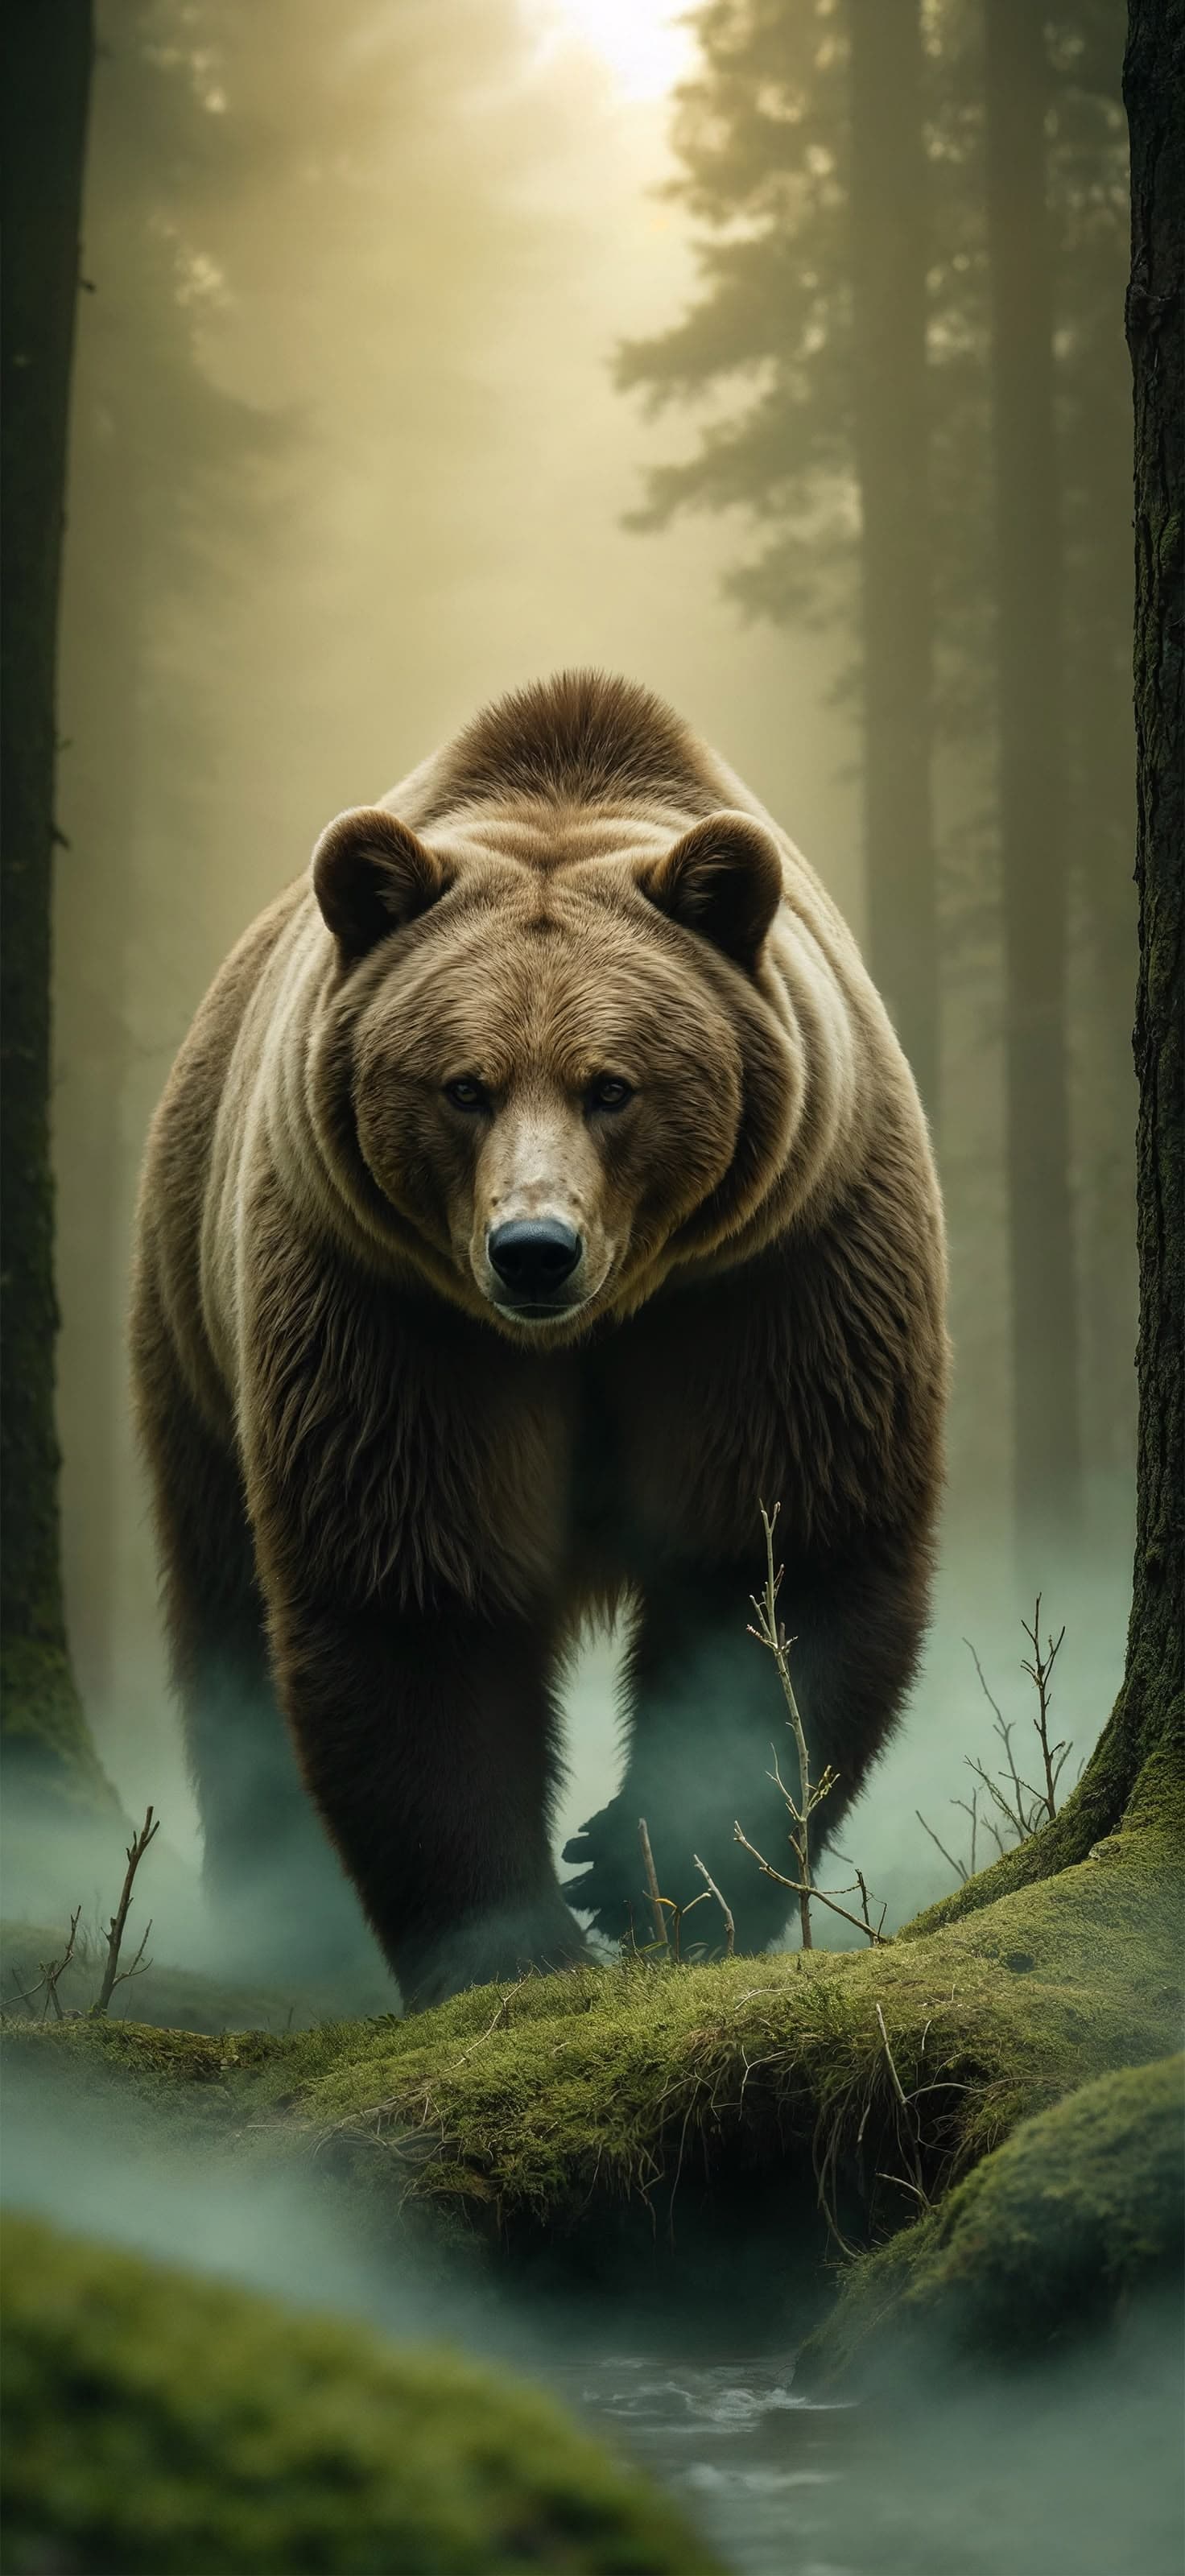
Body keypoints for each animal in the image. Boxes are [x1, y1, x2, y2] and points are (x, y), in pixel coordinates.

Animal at [130, 670, 947, 2006]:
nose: (533, 1250)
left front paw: (652, 1871)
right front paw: (509, 1940)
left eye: (612, 1085)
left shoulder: (775, 1275)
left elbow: (782, 1555)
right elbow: (413, 1587)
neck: (601, 1324)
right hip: (192, 1328)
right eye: (463, 1085)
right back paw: (278, 1915)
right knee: (224, 1618)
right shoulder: (390, 1312)